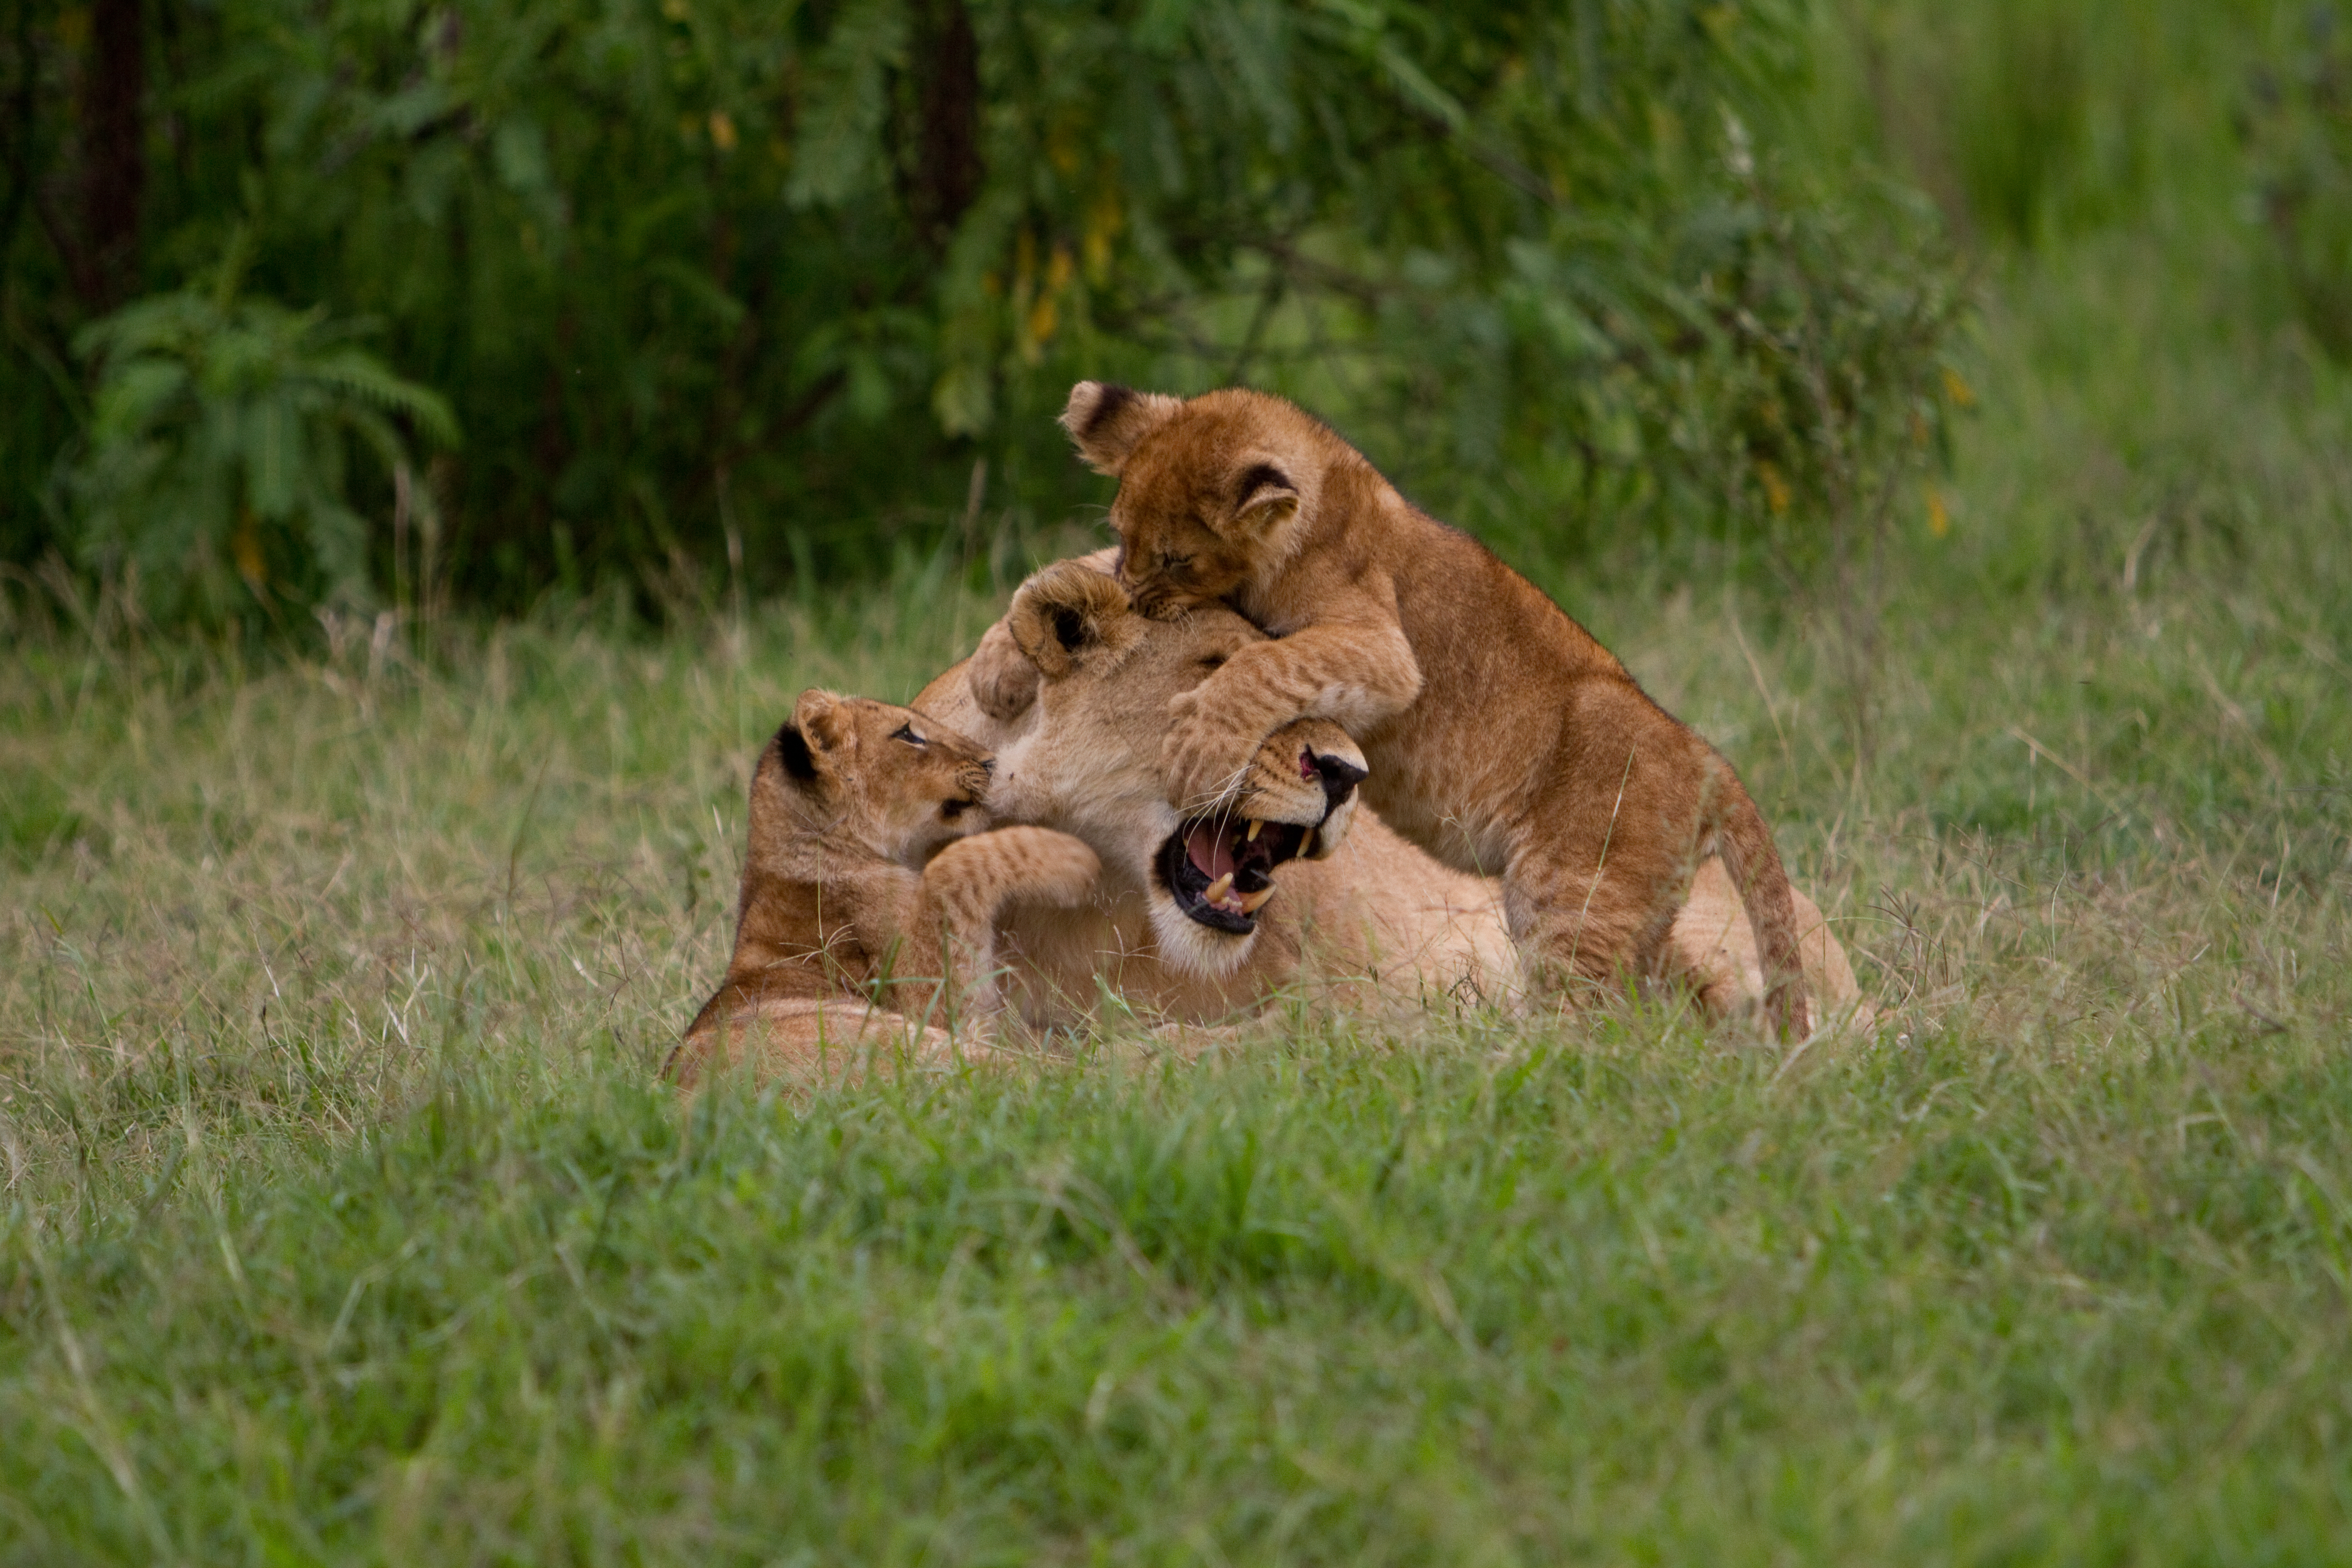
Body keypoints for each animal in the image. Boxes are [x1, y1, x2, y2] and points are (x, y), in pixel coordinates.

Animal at [667, 689, 1099, 1088]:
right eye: (908, 734)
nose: (993, 762)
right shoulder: (934, 1004)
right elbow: (952, 865)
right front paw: (1072, 857)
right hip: (898, 1040)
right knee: (1041, 1073)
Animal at [1055, 382, 1812, 1037]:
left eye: (1176, 559)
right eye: (1122, 535)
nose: (1130, 596)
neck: (1326, 499)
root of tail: (1705, 756)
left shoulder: (1380, 647)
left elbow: (1268, 664)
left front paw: (1197, 746)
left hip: (1574, 892)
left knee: (1587, 1024)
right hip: (1645, 917)